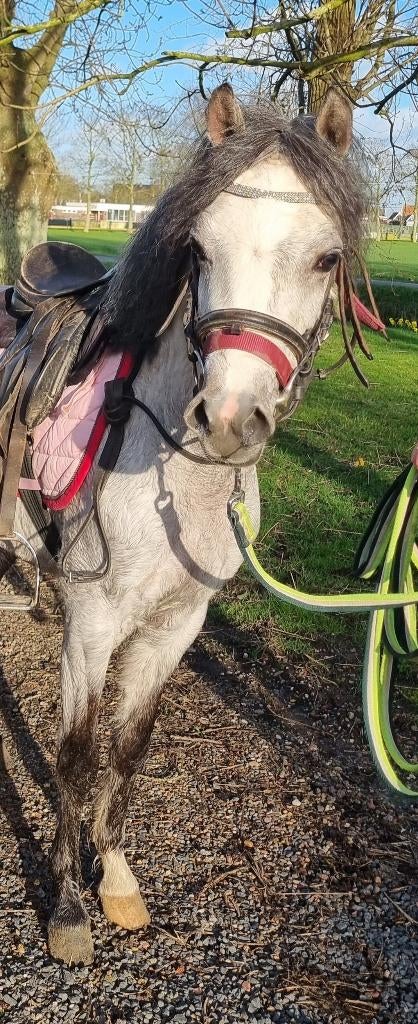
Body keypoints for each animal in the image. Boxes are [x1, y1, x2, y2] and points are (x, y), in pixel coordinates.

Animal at [5, 83, 365, 964]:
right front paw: (68, 908)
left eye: (327, 258)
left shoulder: (179, 623)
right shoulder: (93, 626)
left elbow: (130, 746)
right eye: (198, 250)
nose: (230, 419)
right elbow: (75, 758)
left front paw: (114, 876)